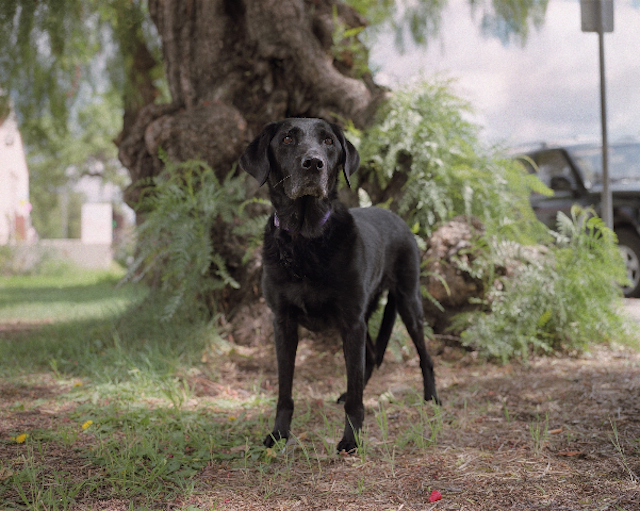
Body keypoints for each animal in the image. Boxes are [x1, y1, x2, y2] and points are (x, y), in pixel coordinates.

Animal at [240, 117, 440, 452]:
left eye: (329, 142)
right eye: (287, 139)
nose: (314, 163)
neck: (305, 239)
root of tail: (394, 215)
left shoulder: (351, 322)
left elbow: (355, 391)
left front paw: (351, 438)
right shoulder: (284, 323)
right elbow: (285, 389)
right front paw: (279, 433)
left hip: (408, 302)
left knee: (423, 356)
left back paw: (432, 398)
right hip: (364, 317)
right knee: (369, 357)